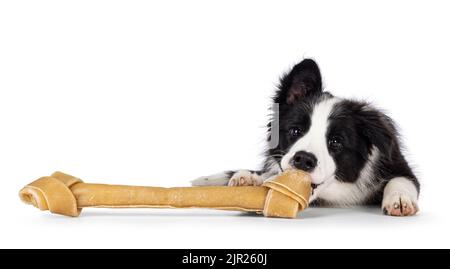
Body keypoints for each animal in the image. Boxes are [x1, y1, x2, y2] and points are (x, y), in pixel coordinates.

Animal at [192, 58, 420, 216]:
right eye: (295, 131)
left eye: (335, 142)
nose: (303, 159)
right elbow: (271, 176)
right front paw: (250, 180)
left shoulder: (396, 163)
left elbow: (401, 180)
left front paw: (399, 199)